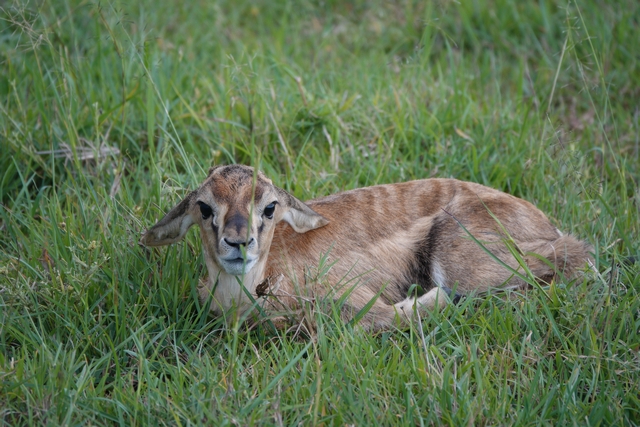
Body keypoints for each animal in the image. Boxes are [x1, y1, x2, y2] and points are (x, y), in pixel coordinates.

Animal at [140, 165, 593, 332]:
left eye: (270, 206)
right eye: (203, 207)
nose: (238, 242)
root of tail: (546, 225)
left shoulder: (353, 299)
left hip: (458, 256)